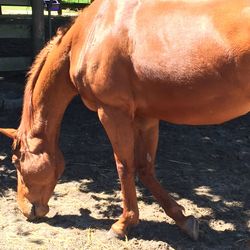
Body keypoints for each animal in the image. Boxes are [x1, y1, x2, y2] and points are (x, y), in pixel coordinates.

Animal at [0, 0, 250, 241]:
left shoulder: (112, 113)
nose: (27, 210)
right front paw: (183, 219)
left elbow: (124, 165)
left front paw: (122, 225)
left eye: (15, 162)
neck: (91, 33)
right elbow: (145, 168)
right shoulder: (145, 118)